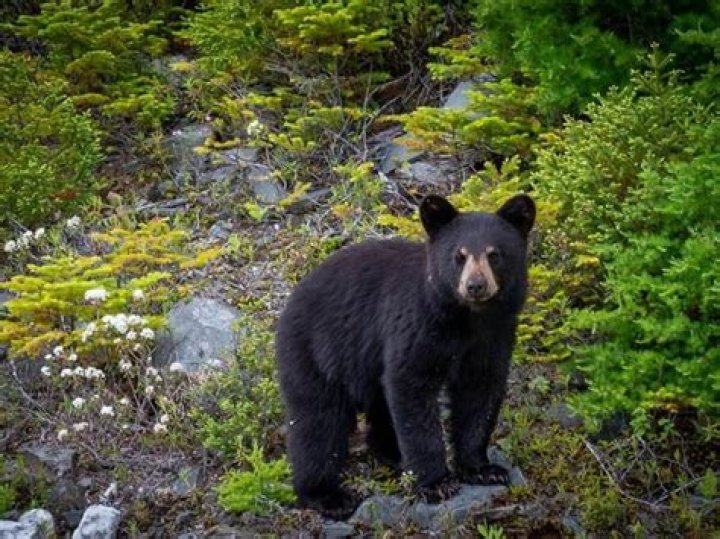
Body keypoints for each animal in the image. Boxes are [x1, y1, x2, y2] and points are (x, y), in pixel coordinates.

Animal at [276, 193, 535, 518]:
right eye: (459, 255)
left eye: (494, 254)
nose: (475, 285)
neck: (466, 319)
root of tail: (291, 299)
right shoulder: (417, 325)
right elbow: (411, 387)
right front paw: (436, 483)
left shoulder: (494, 336)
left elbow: (480, 393)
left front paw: (482, 468)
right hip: (316, 352)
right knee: (318, 421)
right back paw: (327, 495)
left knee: (378, 405)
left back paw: (392, 453)